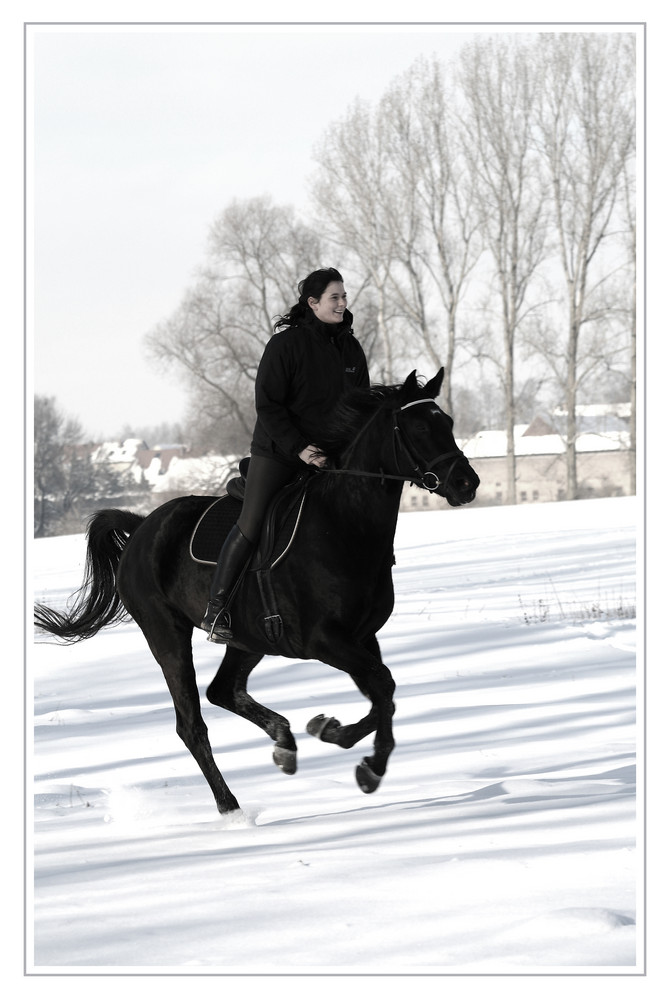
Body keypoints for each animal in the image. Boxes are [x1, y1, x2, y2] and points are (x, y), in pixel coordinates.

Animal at [35, 372, 480, 816]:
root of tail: (142, 526)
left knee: (222, 690)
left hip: (249, 639)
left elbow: (383, 693)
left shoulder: (361, 637)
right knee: (191, 724)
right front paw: (367, 764)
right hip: (167, 636)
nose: (467, 483)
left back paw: (284, 742)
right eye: (419, 427)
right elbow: (384, 686)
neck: (344, 526)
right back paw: (231, 807)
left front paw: (334, 734)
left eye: (448, 422)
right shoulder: (323, 640)